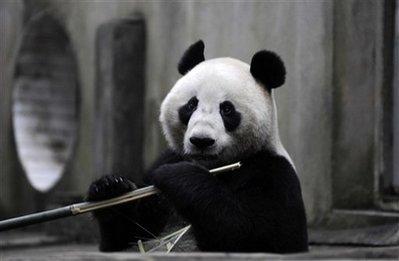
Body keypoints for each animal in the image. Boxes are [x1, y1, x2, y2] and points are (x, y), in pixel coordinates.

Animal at [87, 40, 310, 252]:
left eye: (227, 109)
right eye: (191, 104)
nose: (201, 140)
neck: (211, 166)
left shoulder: (272, 171)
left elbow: (259, 231)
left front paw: (177, 175)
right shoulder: (170, 157)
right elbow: (126, 236)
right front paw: (110, 188)